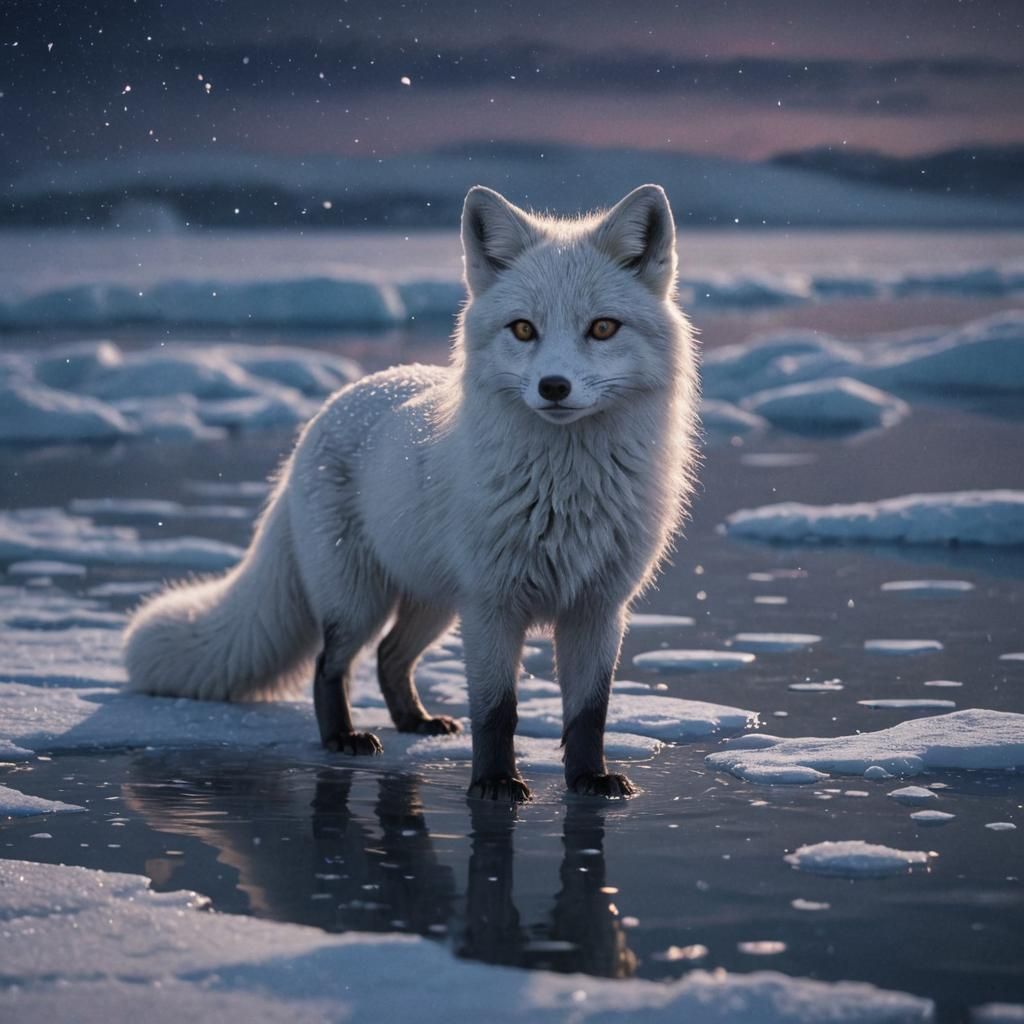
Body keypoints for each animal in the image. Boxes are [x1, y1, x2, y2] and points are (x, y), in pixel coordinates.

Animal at [125, 183, 699, 802]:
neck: (565, 492)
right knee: (331, 665)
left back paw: (414, 722)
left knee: (389, 658)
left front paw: (590, 779)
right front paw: (494, 783)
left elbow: (590, 713)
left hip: (434, 604)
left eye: (602, 328)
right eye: (523, 329)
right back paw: (343, 738)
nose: (554, 387)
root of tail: (332, 408)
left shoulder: (598, 607)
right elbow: (497, 710)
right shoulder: (492, 605)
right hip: (360, 599)